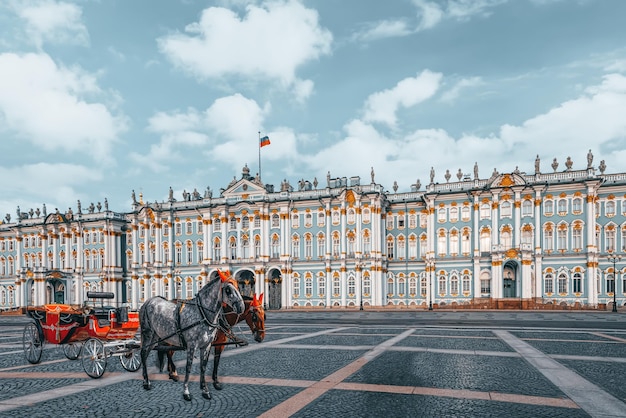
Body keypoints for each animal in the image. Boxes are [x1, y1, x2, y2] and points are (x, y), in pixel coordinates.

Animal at [139, 272, 244, 402]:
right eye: (228, 290)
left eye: (238, 286)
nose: (241, 307)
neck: (202, 314)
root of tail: (149, 301)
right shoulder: (191, 346)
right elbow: (188, 368)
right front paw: (186, 392)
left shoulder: (207, 345)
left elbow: (203, 366)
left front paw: (205, 390)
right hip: (147, 334)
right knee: (143, 354)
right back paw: (146, 382)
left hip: (155, 337)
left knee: (147, 354)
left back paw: (148, 380)